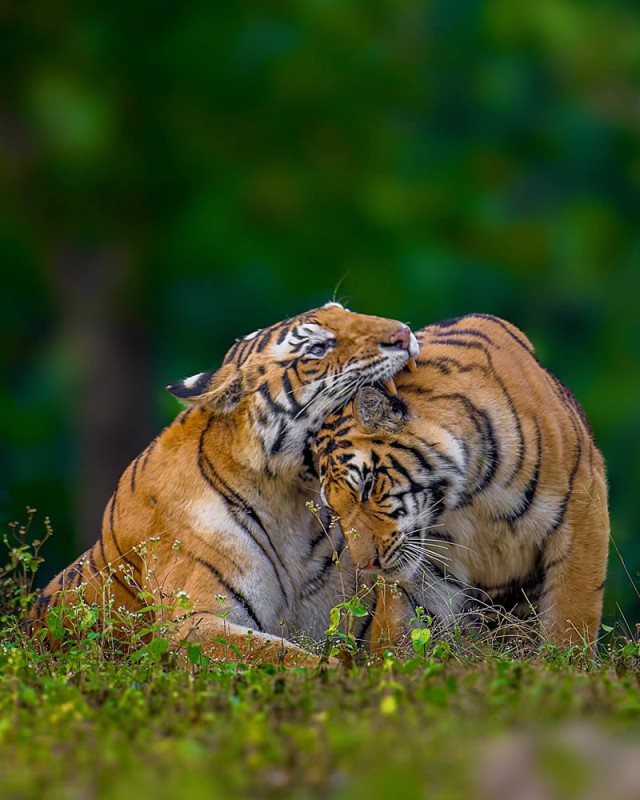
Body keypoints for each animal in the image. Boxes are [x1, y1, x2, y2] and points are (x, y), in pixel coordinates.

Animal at [32, 304, 420, 664]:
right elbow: (283, 656)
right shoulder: (194, 623)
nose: (404, 335)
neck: (290, 501)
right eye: (317, 347)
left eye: (347, 312)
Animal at [318, 310, 608, 648]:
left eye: (366, 488)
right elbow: (400, 630)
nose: (367, 565)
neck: (472, 495)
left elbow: (571, 614)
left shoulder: (582, 507)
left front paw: (564, 657)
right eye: (334, 510)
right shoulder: (430, 563)